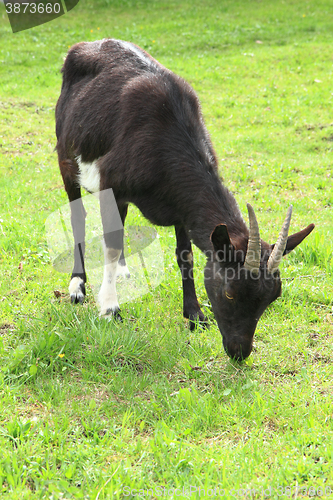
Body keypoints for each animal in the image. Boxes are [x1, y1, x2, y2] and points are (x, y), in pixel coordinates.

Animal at [55, 39, 314, 360]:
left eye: (272, 298)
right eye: (229, 292)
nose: (239, 351)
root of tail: (86, 45)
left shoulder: (180, 206)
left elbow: (185, 255)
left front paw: (194, 314)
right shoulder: (111, 184)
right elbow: (111, 245)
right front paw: (110, 309)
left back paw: (125, 271)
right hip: (67, 158)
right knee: (78, 216)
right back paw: (77, 286)